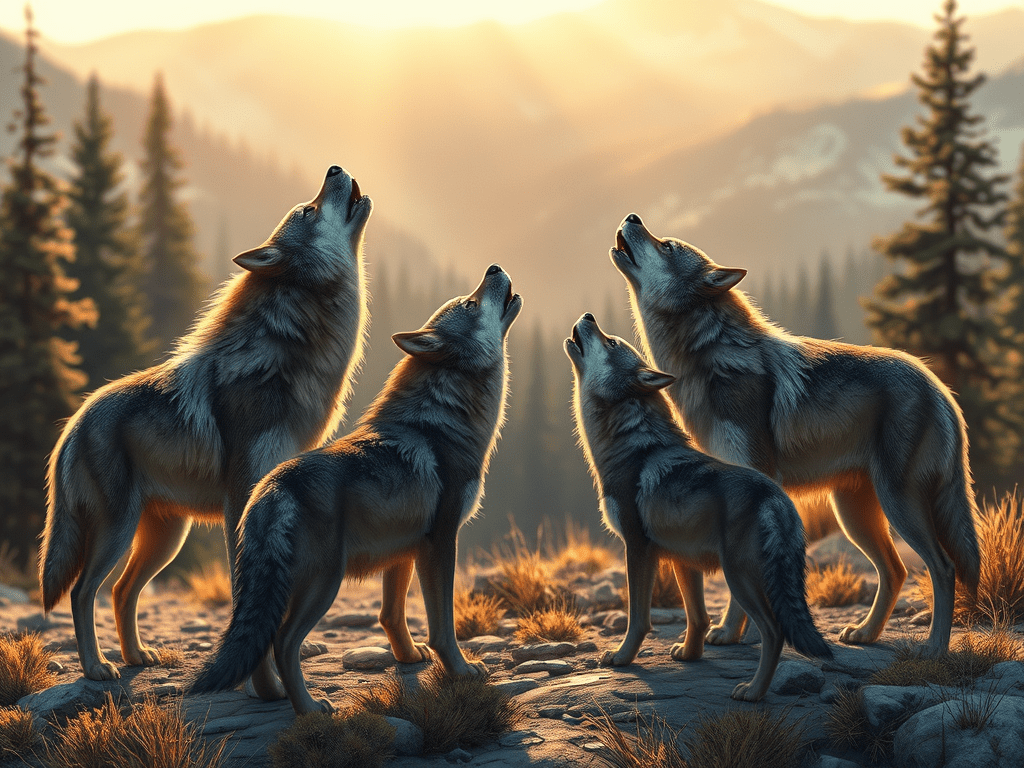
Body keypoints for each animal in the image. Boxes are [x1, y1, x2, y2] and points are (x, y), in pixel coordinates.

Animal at [41, 166, 372, 683]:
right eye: (308, 210)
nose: (334, 169)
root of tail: (74, 421)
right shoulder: (242, 497)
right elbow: (245, 594)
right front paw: (262, 683)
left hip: (166, 539)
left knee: (121, 591)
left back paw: (137, 657)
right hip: (119, 532)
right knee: (82, 591)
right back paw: (97, 668)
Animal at [188, 264, 523, 715]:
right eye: (471, 304)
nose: (493, 268)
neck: (441, 426)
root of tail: (272, 487)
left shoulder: (405, 546)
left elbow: (392, 616)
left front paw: (408, 659)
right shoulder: (440, 541)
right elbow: (443, 628)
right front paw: (461, 671)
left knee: (264, 642)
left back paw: (277, 697)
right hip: (325, 583)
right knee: (283, 643)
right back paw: (309, 710)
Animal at [566, 313, 831, 701]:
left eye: (610, 341)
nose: (587, 316)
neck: (631, 448)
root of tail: (777, 498)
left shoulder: (638, 548)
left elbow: (638, 618)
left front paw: (622, 658)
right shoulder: (681, 557)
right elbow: (697, 617)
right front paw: (690, 655)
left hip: (739, 578)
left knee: (774, 632)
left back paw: (753, 692)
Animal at [610, 213, 981, 656]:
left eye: (666, 246)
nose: (632, 217)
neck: (708, 362)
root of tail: (940, 387)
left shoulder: (753, 484)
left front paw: (733, 632)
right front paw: (736, 633)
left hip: (897, 504)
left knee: (943, 567)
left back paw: (935, 648)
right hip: (854, 514)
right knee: (895, 571)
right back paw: (865, 634)